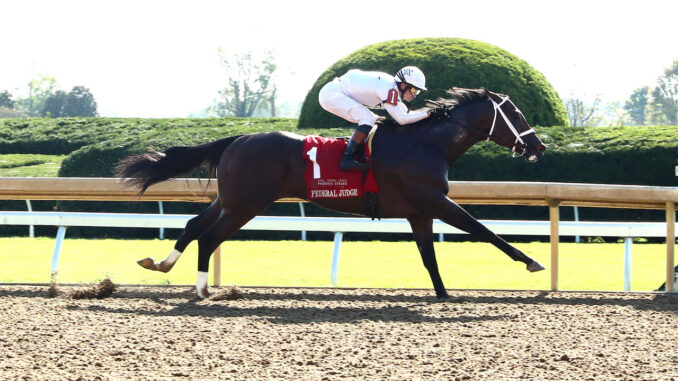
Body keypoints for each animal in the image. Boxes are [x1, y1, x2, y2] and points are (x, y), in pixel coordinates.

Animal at [117, 88, 548, 300]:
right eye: (517, 115)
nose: (539, 146)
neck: (426, 144)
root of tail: (237, 138)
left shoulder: (420, 212)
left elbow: (429, 256)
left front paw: (443, 294)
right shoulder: (434, 201)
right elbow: (484, 230)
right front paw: (531, 262)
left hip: (231, 200)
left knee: (193, 225)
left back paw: (161, 264)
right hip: (247, 205)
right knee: (209, 237)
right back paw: (204, 289)